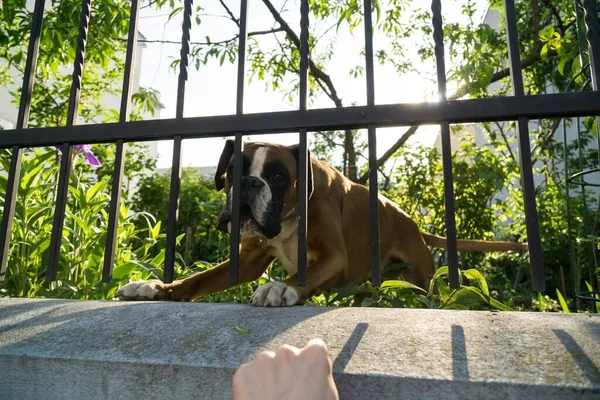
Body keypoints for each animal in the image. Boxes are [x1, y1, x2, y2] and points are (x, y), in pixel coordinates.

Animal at [116, 141, 524, 306]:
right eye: (233, 171)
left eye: (279, 176)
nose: (250, 183)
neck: (288, 219)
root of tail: (409, 221)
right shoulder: (247, 260)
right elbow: (198, 280)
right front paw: (155, 288)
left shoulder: (332, 256)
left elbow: (303, 273)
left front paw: (281, 288)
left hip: (423, 282)